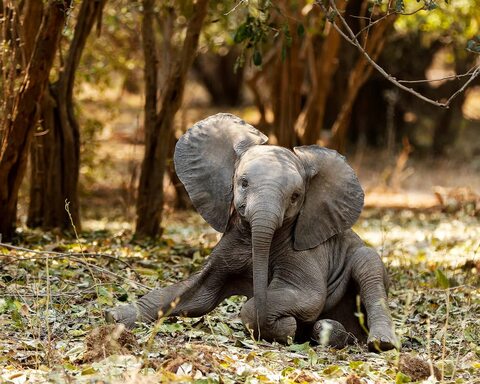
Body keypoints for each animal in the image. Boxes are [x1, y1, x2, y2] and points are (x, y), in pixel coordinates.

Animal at [107, 113, 400, 352]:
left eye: (295, 196)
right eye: (243, 183)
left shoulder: (307, 252)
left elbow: (307, 296)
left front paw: (286, 328)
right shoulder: (231, 241)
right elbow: (197, 293)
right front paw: (115, 316)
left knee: (368, 266)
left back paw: (378, 342)